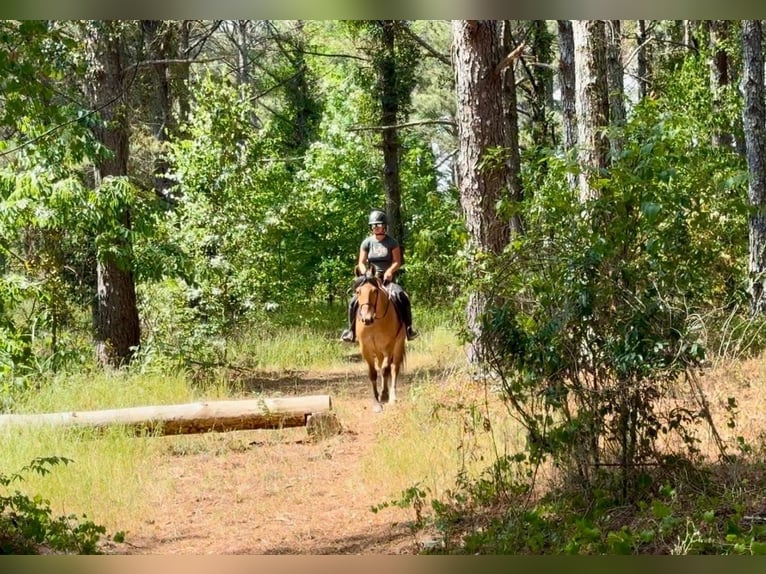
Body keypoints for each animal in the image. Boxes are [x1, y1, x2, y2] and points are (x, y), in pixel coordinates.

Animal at [353, 269, 407, 413]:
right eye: (358, 291)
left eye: (374, 291)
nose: (366, 319)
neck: (375, 322)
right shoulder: (365, 348)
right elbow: (373, 373)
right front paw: (376, 401)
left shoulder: (389, 347)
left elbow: (385, 370)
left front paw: (384, 395)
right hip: (378, 350)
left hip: (398, 346)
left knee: (394, 369)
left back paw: (392, 396)